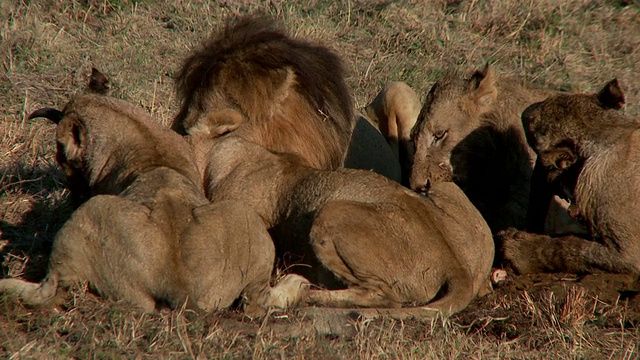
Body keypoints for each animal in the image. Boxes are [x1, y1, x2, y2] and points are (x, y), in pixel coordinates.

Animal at [0, 94, 308, 314]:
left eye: (61, 155)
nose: (70, 191)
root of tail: (178, 287)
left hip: (84, 220)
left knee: (48, 293)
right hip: (247, 224)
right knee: (260, 300)